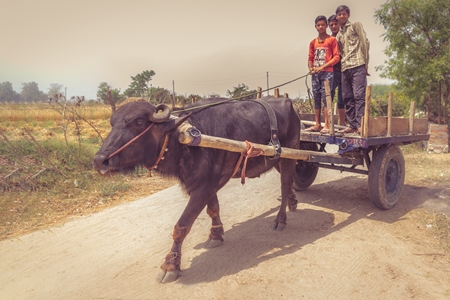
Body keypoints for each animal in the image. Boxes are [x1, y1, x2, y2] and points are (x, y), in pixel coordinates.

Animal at [93, 96, 300, 284]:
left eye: (138, 122)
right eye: (112, 123)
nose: (100, 160)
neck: (184, 140)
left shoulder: (203, 187)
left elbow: (181, 226)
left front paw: (170, 266)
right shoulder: (206, 184)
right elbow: (213, 209)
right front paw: (216, 235)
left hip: (289, 155)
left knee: (284, 184)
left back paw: (280, 220)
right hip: (276, 160)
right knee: (289, 182)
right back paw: (292, 201)